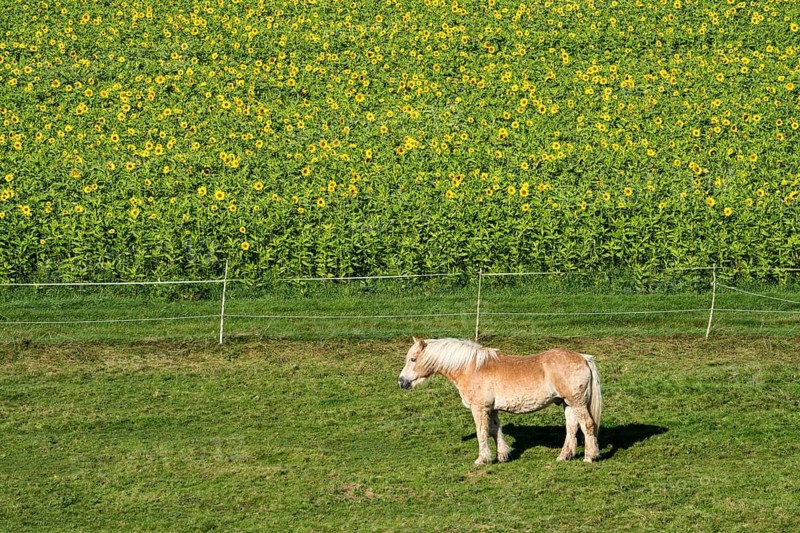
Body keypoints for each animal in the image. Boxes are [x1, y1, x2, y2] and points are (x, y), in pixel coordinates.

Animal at [397, 337, 602, 464]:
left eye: (413, 359)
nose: (401, 381)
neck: (471, 368)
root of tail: (584, 358)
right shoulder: (492, 409)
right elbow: (495, 430)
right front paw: (503, 455)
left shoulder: (479, 408)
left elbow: (482, 432)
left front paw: (482, 459)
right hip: (568, 404)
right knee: (572, 428)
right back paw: (563, 456)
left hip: (576, 403)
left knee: (587, 425)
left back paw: (590, 457)